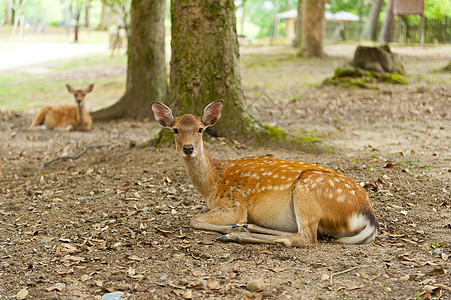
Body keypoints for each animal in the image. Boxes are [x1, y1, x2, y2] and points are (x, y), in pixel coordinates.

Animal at [151, 101, 378, 246]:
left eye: (200, 129)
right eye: (175, 129)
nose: (188, 148)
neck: (214, 184)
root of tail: (368, 215)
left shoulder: (234, 204)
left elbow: (195, 219)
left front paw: (230, 228)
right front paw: (237, 227)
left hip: (308, 190)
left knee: (306, 238)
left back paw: (237, 234)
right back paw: (246, 228)